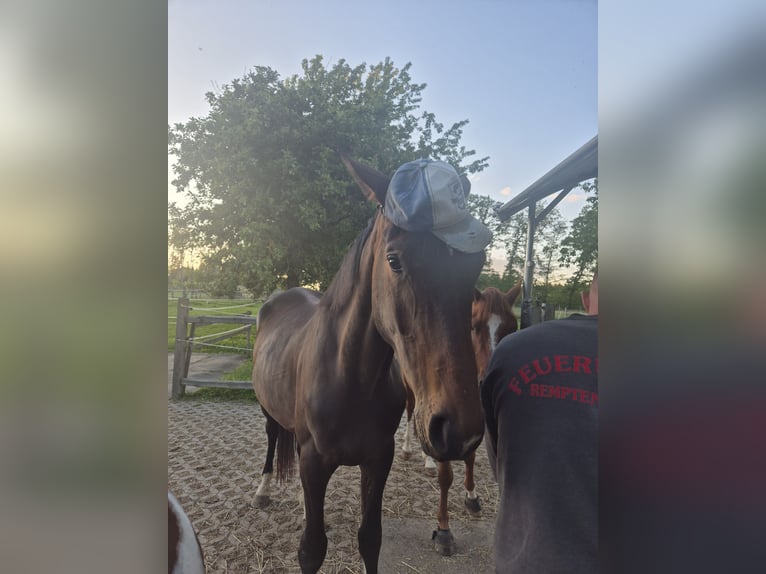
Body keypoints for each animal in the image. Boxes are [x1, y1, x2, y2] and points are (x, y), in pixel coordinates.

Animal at [252, 158, 486, 574]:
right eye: (394, 260)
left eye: (477, 264)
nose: (460, 429)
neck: (349, 376)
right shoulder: (314, 461)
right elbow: (311, 548)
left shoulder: (378, 460)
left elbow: (370, 539)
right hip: (268, 412)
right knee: (271, 440)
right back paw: (263, 491)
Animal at [402, 286, 520, 556]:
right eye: (473, 326)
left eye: (512, 327)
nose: (489, 380)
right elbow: (446, 476)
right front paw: (444, 530)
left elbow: (471, 457)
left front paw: (472, 496)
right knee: (411, 413)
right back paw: (407, 449)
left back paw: (427, 460)